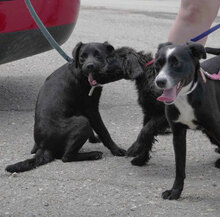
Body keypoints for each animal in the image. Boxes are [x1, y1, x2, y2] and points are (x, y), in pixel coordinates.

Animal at [5, 41, 125, 173]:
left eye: (98, 55)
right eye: (82, 57)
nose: (89, 66)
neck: (81, 74)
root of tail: (44, 147)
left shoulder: (83, 109)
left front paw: (93, 138)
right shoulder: (91, 109)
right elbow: (104, 131)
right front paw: (116, 150)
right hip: (82, 122)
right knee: (66, 157)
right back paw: (93, 154)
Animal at [155, 42, 220, 200]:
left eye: (176, 63)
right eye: (157, 64)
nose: (160, 81)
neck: (184, 97)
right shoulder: (178, 133)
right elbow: (179, 167)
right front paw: (175, 191)